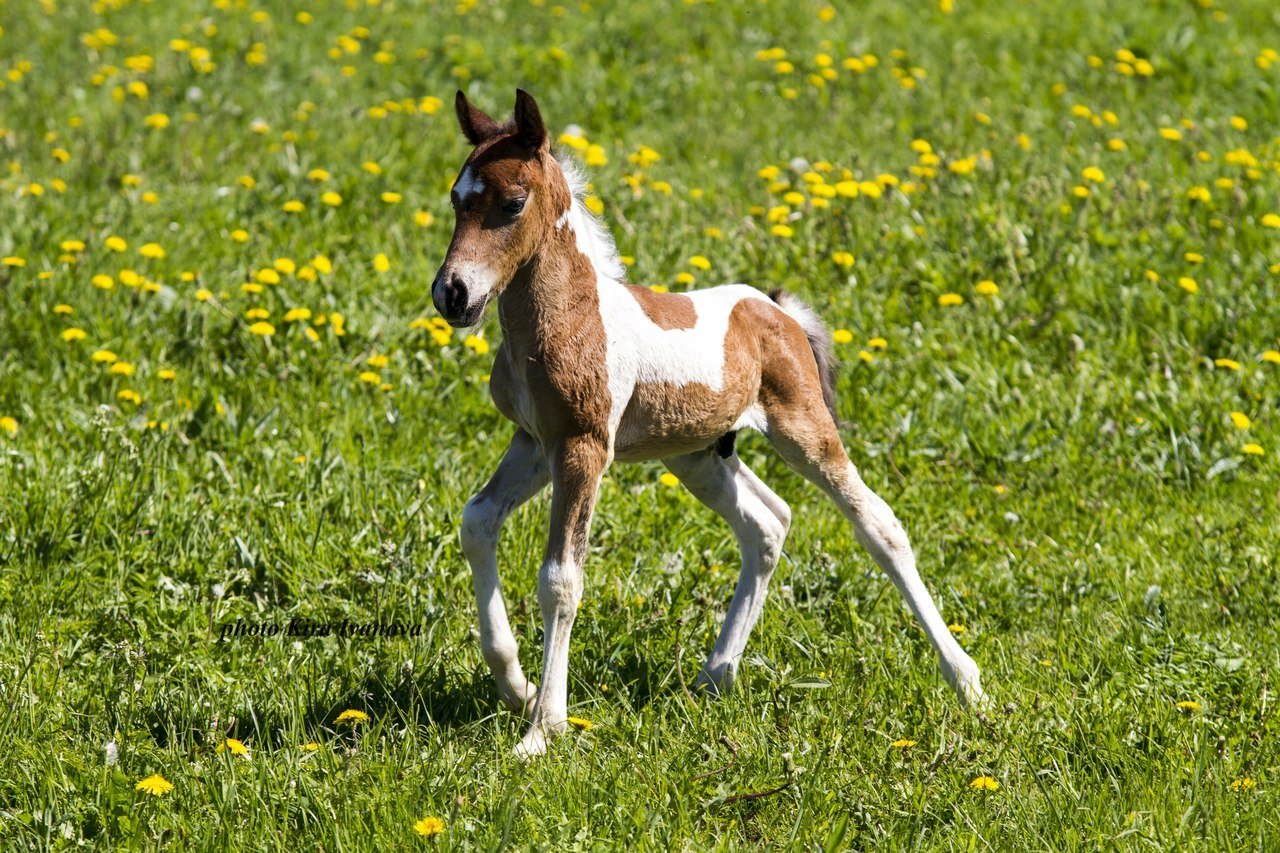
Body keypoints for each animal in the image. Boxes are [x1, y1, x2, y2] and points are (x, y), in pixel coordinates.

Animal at [435, 89, 983, 753]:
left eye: (513, 204)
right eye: (456, 198)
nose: (453, 295)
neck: (569, 319)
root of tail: (774, 307)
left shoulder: (582, 447)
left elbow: (562, 578)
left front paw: (543, 729)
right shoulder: (536, 442)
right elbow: (477, 521)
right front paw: (517, 687)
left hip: (802, 428)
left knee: (878, 523)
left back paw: (966, 683)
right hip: (697, 454)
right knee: (768, 523)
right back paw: (715, 676)